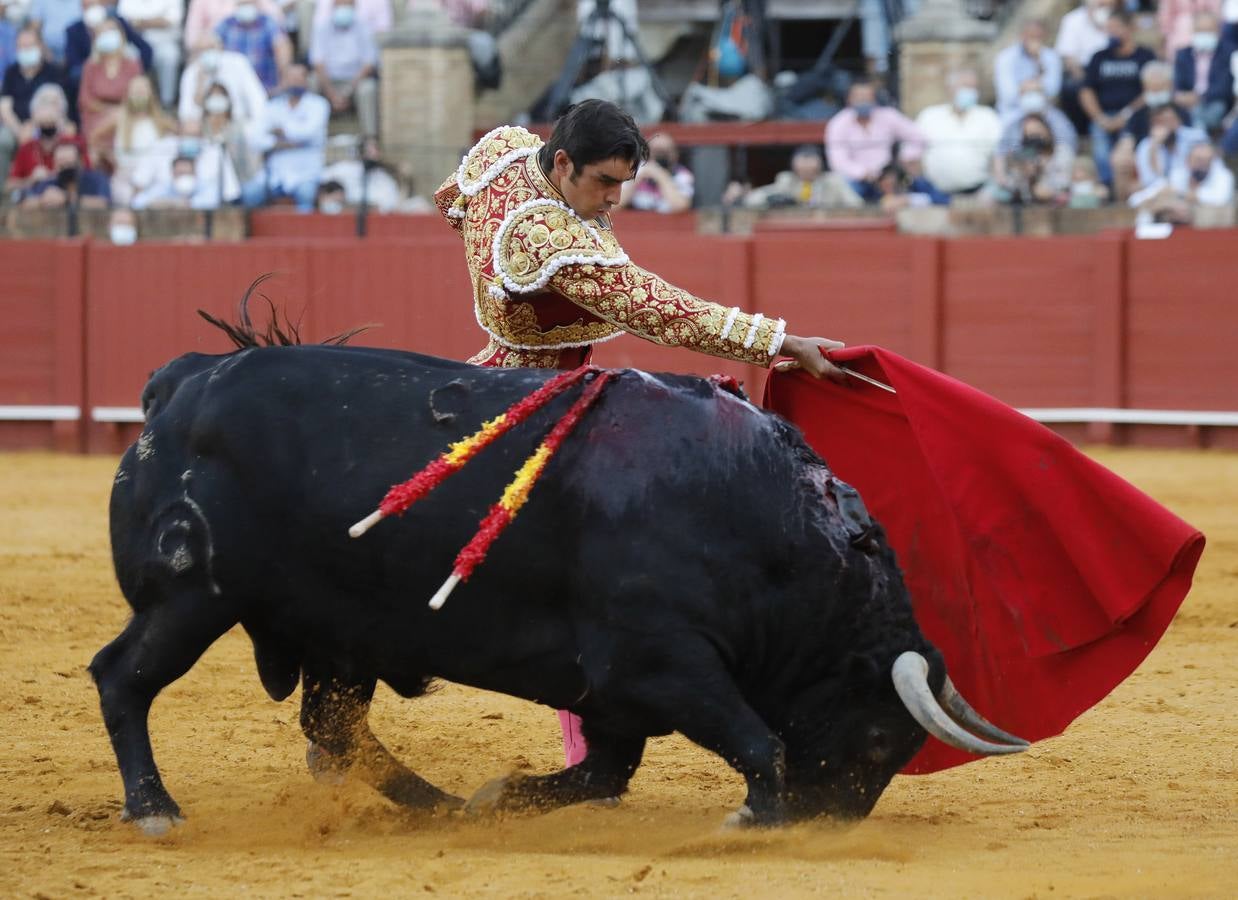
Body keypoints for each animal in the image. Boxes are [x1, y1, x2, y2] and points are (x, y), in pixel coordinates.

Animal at [84, 339, 1015, 836]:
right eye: (876, 741)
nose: (826, 826)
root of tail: (182, 383)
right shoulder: (657, 660)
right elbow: (758, 741)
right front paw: (754, 816)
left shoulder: (616, 690)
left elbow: (604, 772)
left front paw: (502, 796)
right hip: (190, 599)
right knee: (123, 677)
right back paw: (154, 808)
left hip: (335, 632)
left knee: (333, 724)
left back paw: (437, 804)